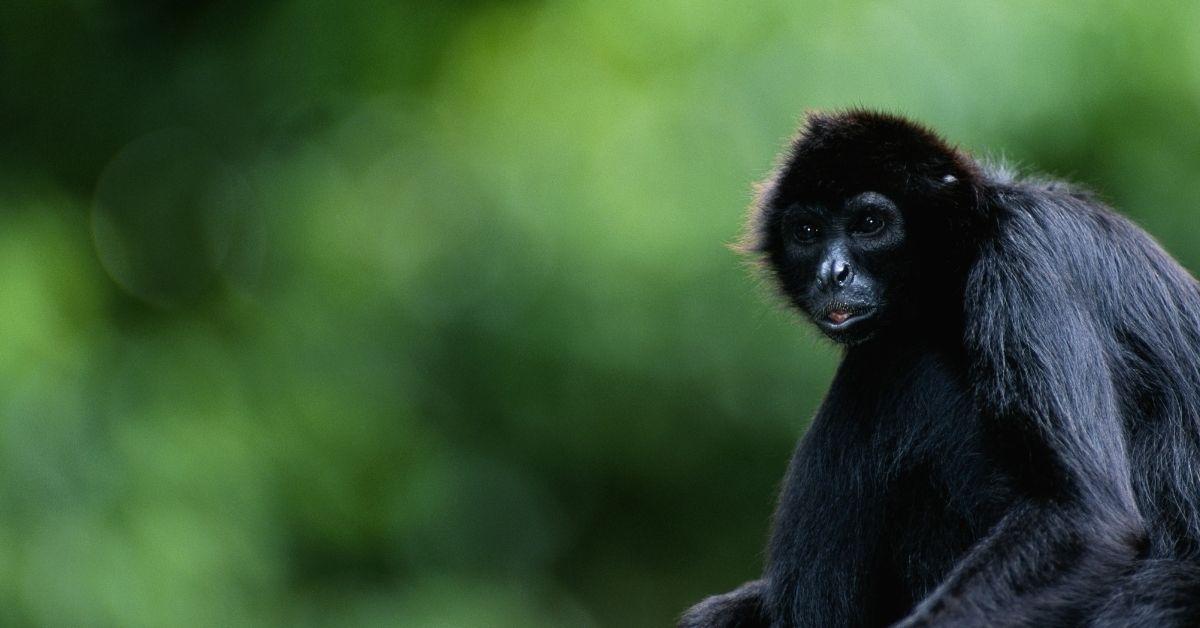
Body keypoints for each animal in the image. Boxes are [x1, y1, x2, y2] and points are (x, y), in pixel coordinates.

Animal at [686, 112, 1200, 628]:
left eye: (869, 224)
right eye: (807, 232)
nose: (833, 273)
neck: (976, 236)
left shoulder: (1027, 257)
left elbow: (1087, 515)